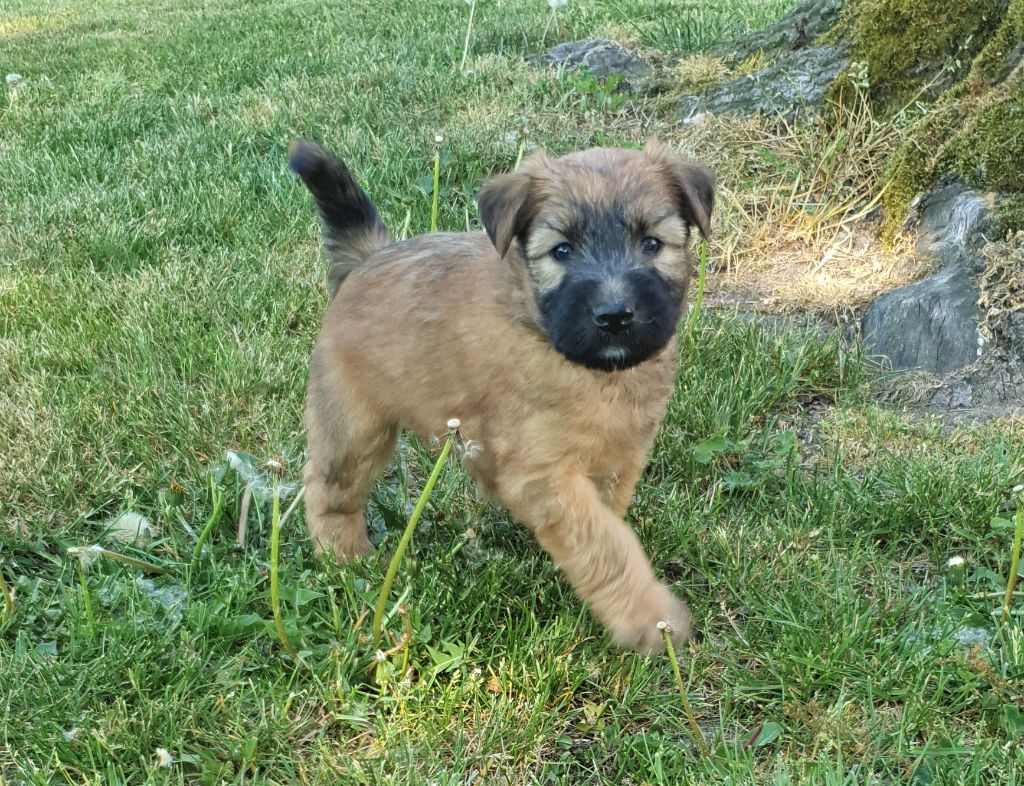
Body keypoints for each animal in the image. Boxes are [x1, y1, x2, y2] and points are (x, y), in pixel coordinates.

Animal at [289, 139, 714, 653]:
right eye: (561, 251)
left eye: (652, 243)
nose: (614, 316)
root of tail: (367, 258)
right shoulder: (545, 475)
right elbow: (606, 545)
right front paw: (649, 617)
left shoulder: (618, 458)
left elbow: (606, 530)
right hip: (354, 425)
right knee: (328, 487)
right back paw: (346, 556)